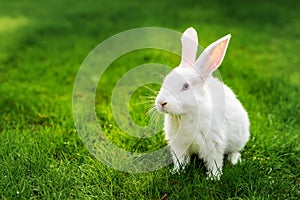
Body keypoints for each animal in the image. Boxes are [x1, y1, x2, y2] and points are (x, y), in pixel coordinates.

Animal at [156, 27, 250, 180]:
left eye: (186, 86)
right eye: (166, 80)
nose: (161, 102)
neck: (186, 114)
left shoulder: (214, 144)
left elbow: (214, 162)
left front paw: (213, 178)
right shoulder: (179, 145)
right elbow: (180, 160)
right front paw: (177, 172)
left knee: (235, 150)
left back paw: (234, 160)